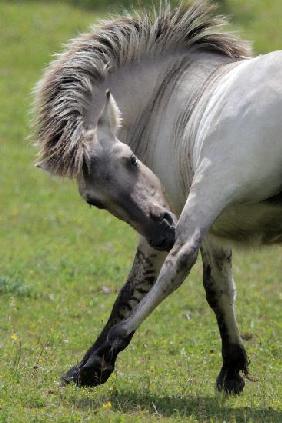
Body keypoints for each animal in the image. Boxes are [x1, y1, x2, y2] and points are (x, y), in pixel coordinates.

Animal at [32, 1, 280, 396]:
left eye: (131, 160)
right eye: (93, 200)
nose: (163, 233)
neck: (169, 93)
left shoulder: (193, 216)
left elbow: (141, 287)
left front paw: (92, 365)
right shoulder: (208, 228)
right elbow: (220, 288)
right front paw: (232, 368)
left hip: (209, 192)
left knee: (178, 264)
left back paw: (116, 340)